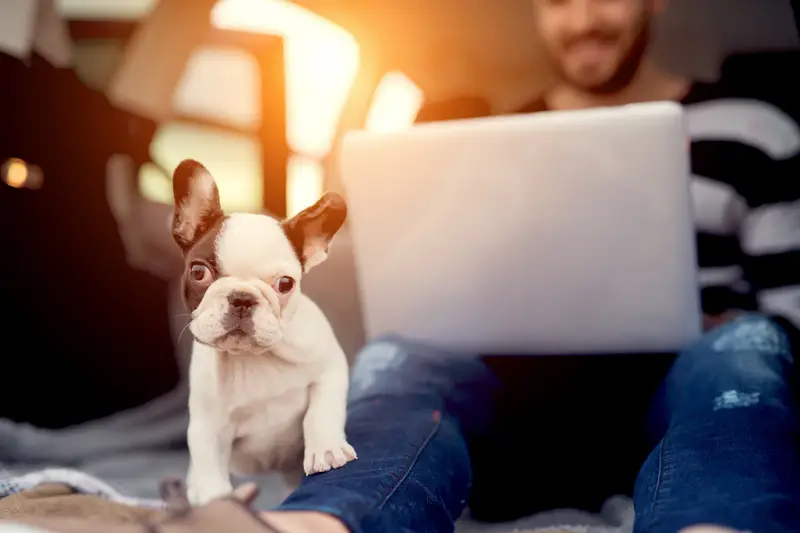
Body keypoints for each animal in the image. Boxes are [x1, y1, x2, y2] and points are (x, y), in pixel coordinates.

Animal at [173, 157, 358, 502]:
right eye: (198, 272)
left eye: (285, 284)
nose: (242, 298)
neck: (253, 357)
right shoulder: (207, 425)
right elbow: (208, 460)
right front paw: (215, 500)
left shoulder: (330, 369)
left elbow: (321, 411)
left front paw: (326, 449)